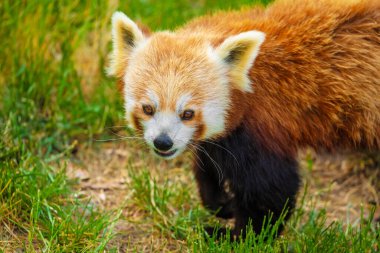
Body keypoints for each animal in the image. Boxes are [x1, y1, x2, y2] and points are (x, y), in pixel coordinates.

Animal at [107, 0, 380, 239]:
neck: (249, 77)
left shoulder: (263, 126)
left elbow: (271, 190)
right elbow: (210, 160)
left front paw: (237, 236)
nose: (163, 142)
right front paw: (221, 202)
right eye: (148, 108)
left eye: (187, 113)